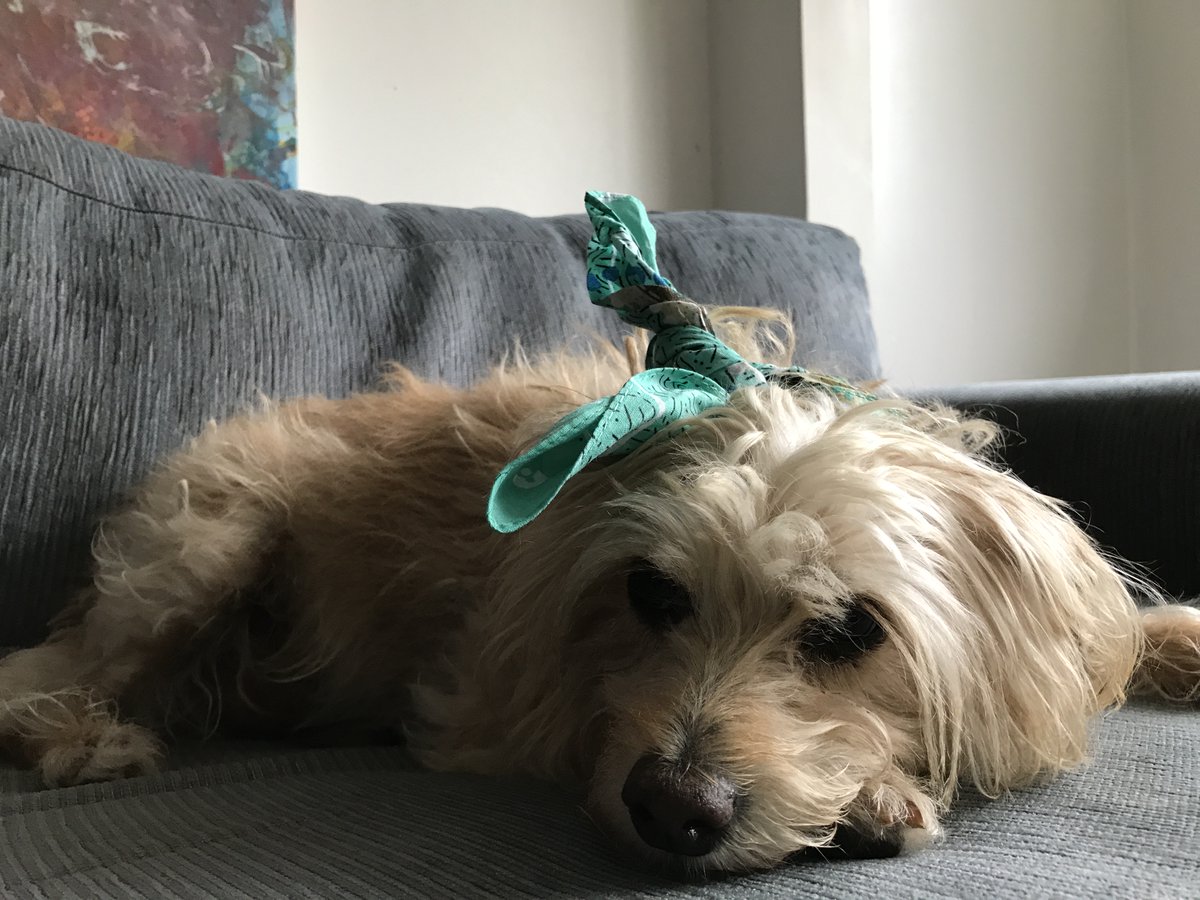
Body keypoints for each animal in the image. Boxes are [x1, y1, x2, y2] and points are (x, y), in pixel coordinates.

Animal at [2, 312, 1200, 883]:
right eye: (651, 595)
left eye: (849, 629)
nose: (675, 811)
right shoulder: (483, 702)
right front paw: (870, 793)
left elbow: (1117, 639)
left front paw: (1176, 642)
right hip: (203, 541)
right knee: (38, 677)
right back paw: (86, 737)